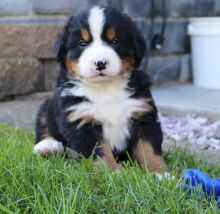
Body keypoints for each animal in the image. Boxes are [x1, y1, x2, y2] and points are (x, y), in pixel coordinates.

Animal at [33, 5, 168, 173]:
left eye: (115, 42)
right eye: (82, 43)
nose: (100, 63)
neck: (105, 88)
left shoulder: (142, 114)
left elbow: (149, 149)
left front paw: (160, 172)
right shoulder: (80, 119)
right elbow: (99, 151)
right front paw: (113, 172)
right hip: (48, 105)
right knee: (44, 123)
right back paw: (47, 146)